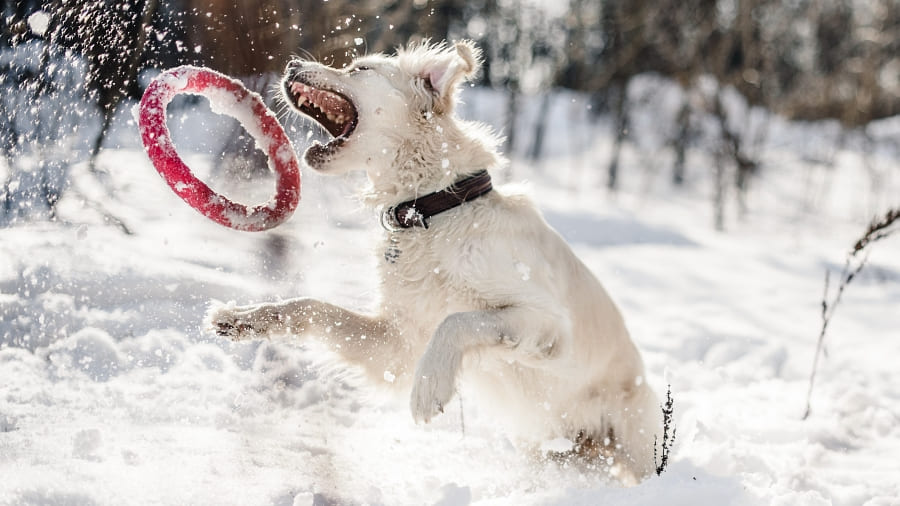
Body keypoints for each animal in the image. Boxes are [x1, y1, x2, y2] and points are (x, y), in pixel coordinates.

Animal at [209, 39, 660, 482]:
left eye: (360, 69)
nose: (290, 64)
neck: (434, 209)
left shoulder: (548, 322)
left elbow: (458, 320)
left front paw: (429, 387)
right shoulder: (398, 343)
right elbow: (311, 307)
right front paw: (244, 318)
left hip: (634, 438)